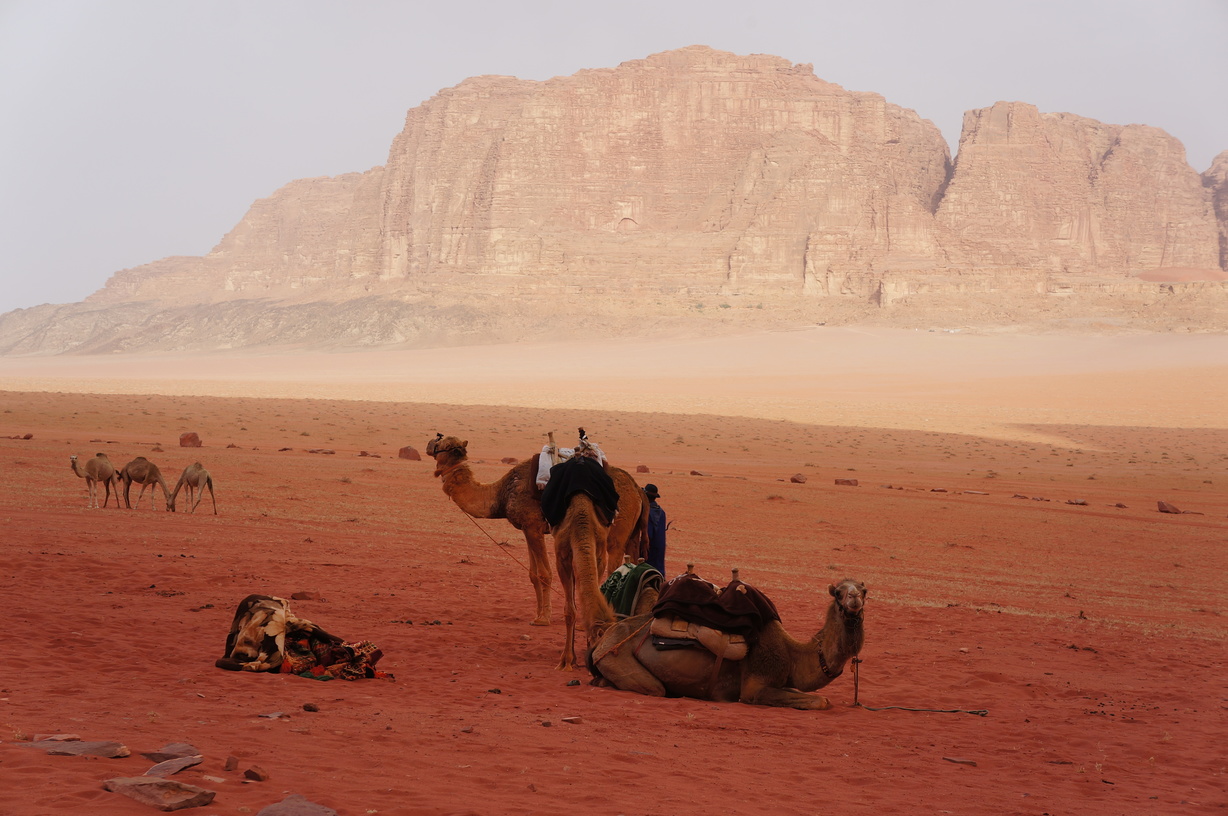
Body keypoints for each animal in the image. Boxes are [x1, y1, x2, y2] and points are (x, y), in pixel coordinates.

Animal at [424, 437, 653, 626]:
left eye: (443, 444)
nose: (428, 444)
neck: (502, 493)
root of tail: (637, 489)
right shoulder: (527, 528)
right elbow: (533, 574)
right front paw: (537, 615)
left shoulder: (533, 525)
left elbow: (544, 573)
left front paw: (544, 618)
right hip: (632, 533)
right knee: (634, 560)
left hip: (616, 531)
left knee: (613, 563)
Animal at [589, 580, 869, 707]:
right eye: (838, 592)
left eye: (864, 590)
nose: (854, 598)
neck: (792, 656)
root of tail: (603, 636)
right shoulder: (754, 687)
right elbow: (821, 701)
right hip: (617, 655)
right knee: (655, 688)